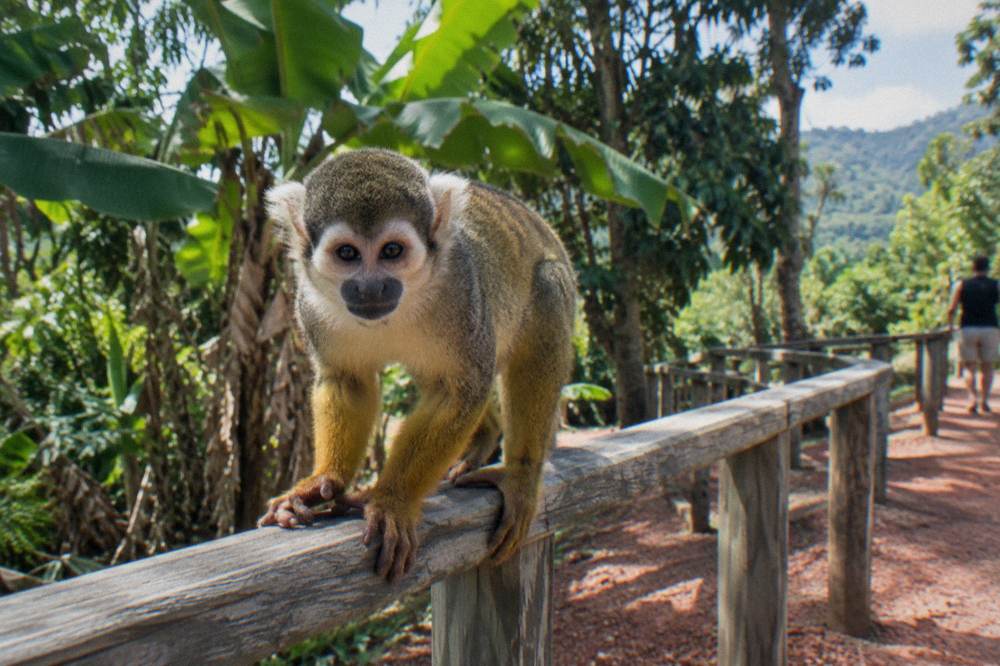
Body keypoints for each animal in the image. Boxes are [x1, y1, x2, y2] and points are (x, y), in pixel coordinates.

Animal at [258, 148, 576, 582]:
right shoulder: (310, 303)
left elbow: (460, 391)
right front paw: (325, 479)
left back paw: (521, 472)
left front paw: (393, 500)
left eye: (392, 251)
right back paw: (484, 438)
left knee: (546, 290)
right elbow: (347, 381)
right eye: (347, 253)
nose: (370, 288)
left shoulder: (462, 289)